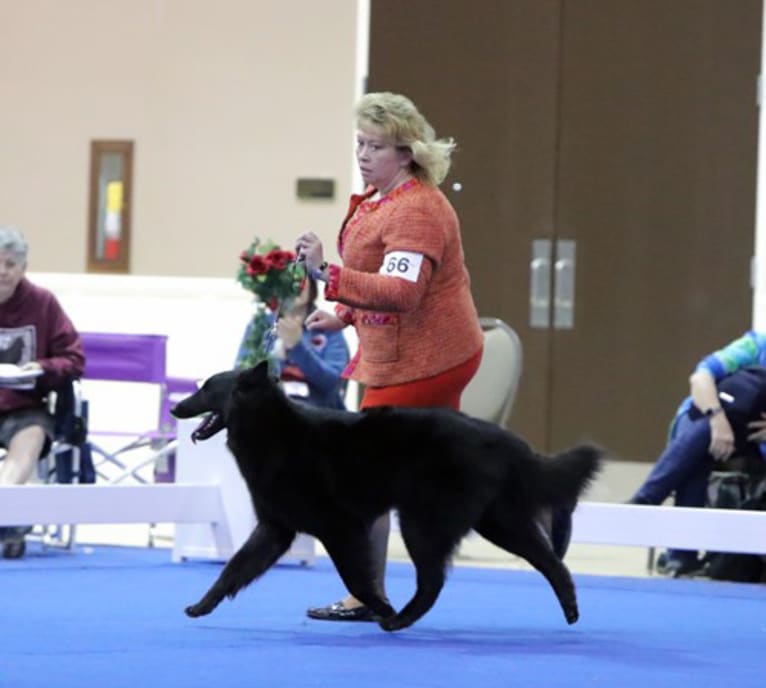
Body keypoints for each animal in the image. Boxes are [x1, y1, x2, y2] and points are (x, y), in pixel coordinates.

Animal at [171, 362, 604, 632]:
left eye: (206, 388)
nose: (175, 408)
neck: (273, 431)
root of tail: (504, 439)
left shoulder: (340, 529)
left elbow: (359, 579)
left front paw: (381, 607)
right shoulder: (275, 529)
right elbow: (233, 570)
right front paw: (201, 606)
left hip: (421, 523)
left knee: (432, 581)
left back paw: (398, 620)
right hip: (496, 522)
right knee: (551, 562)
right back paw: (571, 608)